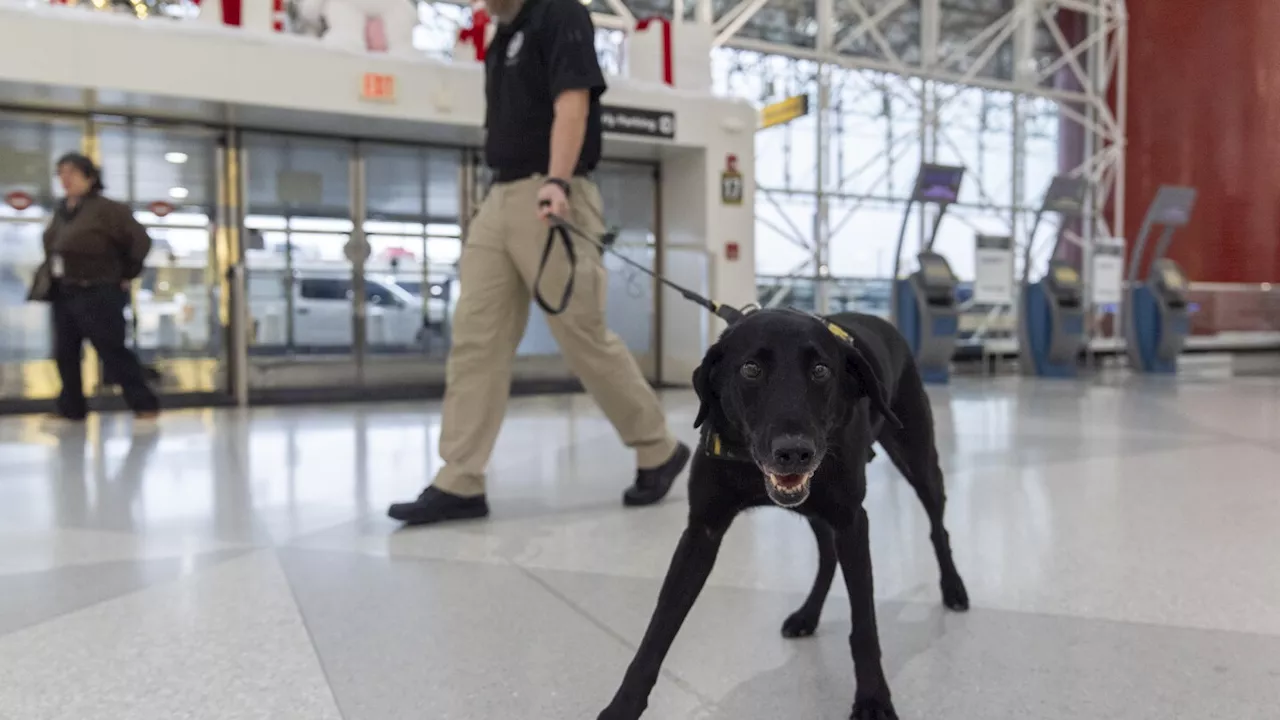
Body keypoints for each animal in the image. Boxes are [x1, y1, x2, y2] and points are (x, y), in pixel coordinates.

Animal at [599, 307, 967, 717]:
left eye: (821, 370)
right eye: (751, 369)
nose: (794, 452)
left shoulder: (852, 522)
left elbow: (865, 626)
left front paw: (873, 697)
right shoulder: (702, 531)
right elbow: (659, 628)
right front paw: (622, 706)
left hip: (917, 459)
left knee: (938, 528)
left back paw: (953, 588)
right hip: (817, 510)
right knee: (827, 556)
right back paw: (808, 614)